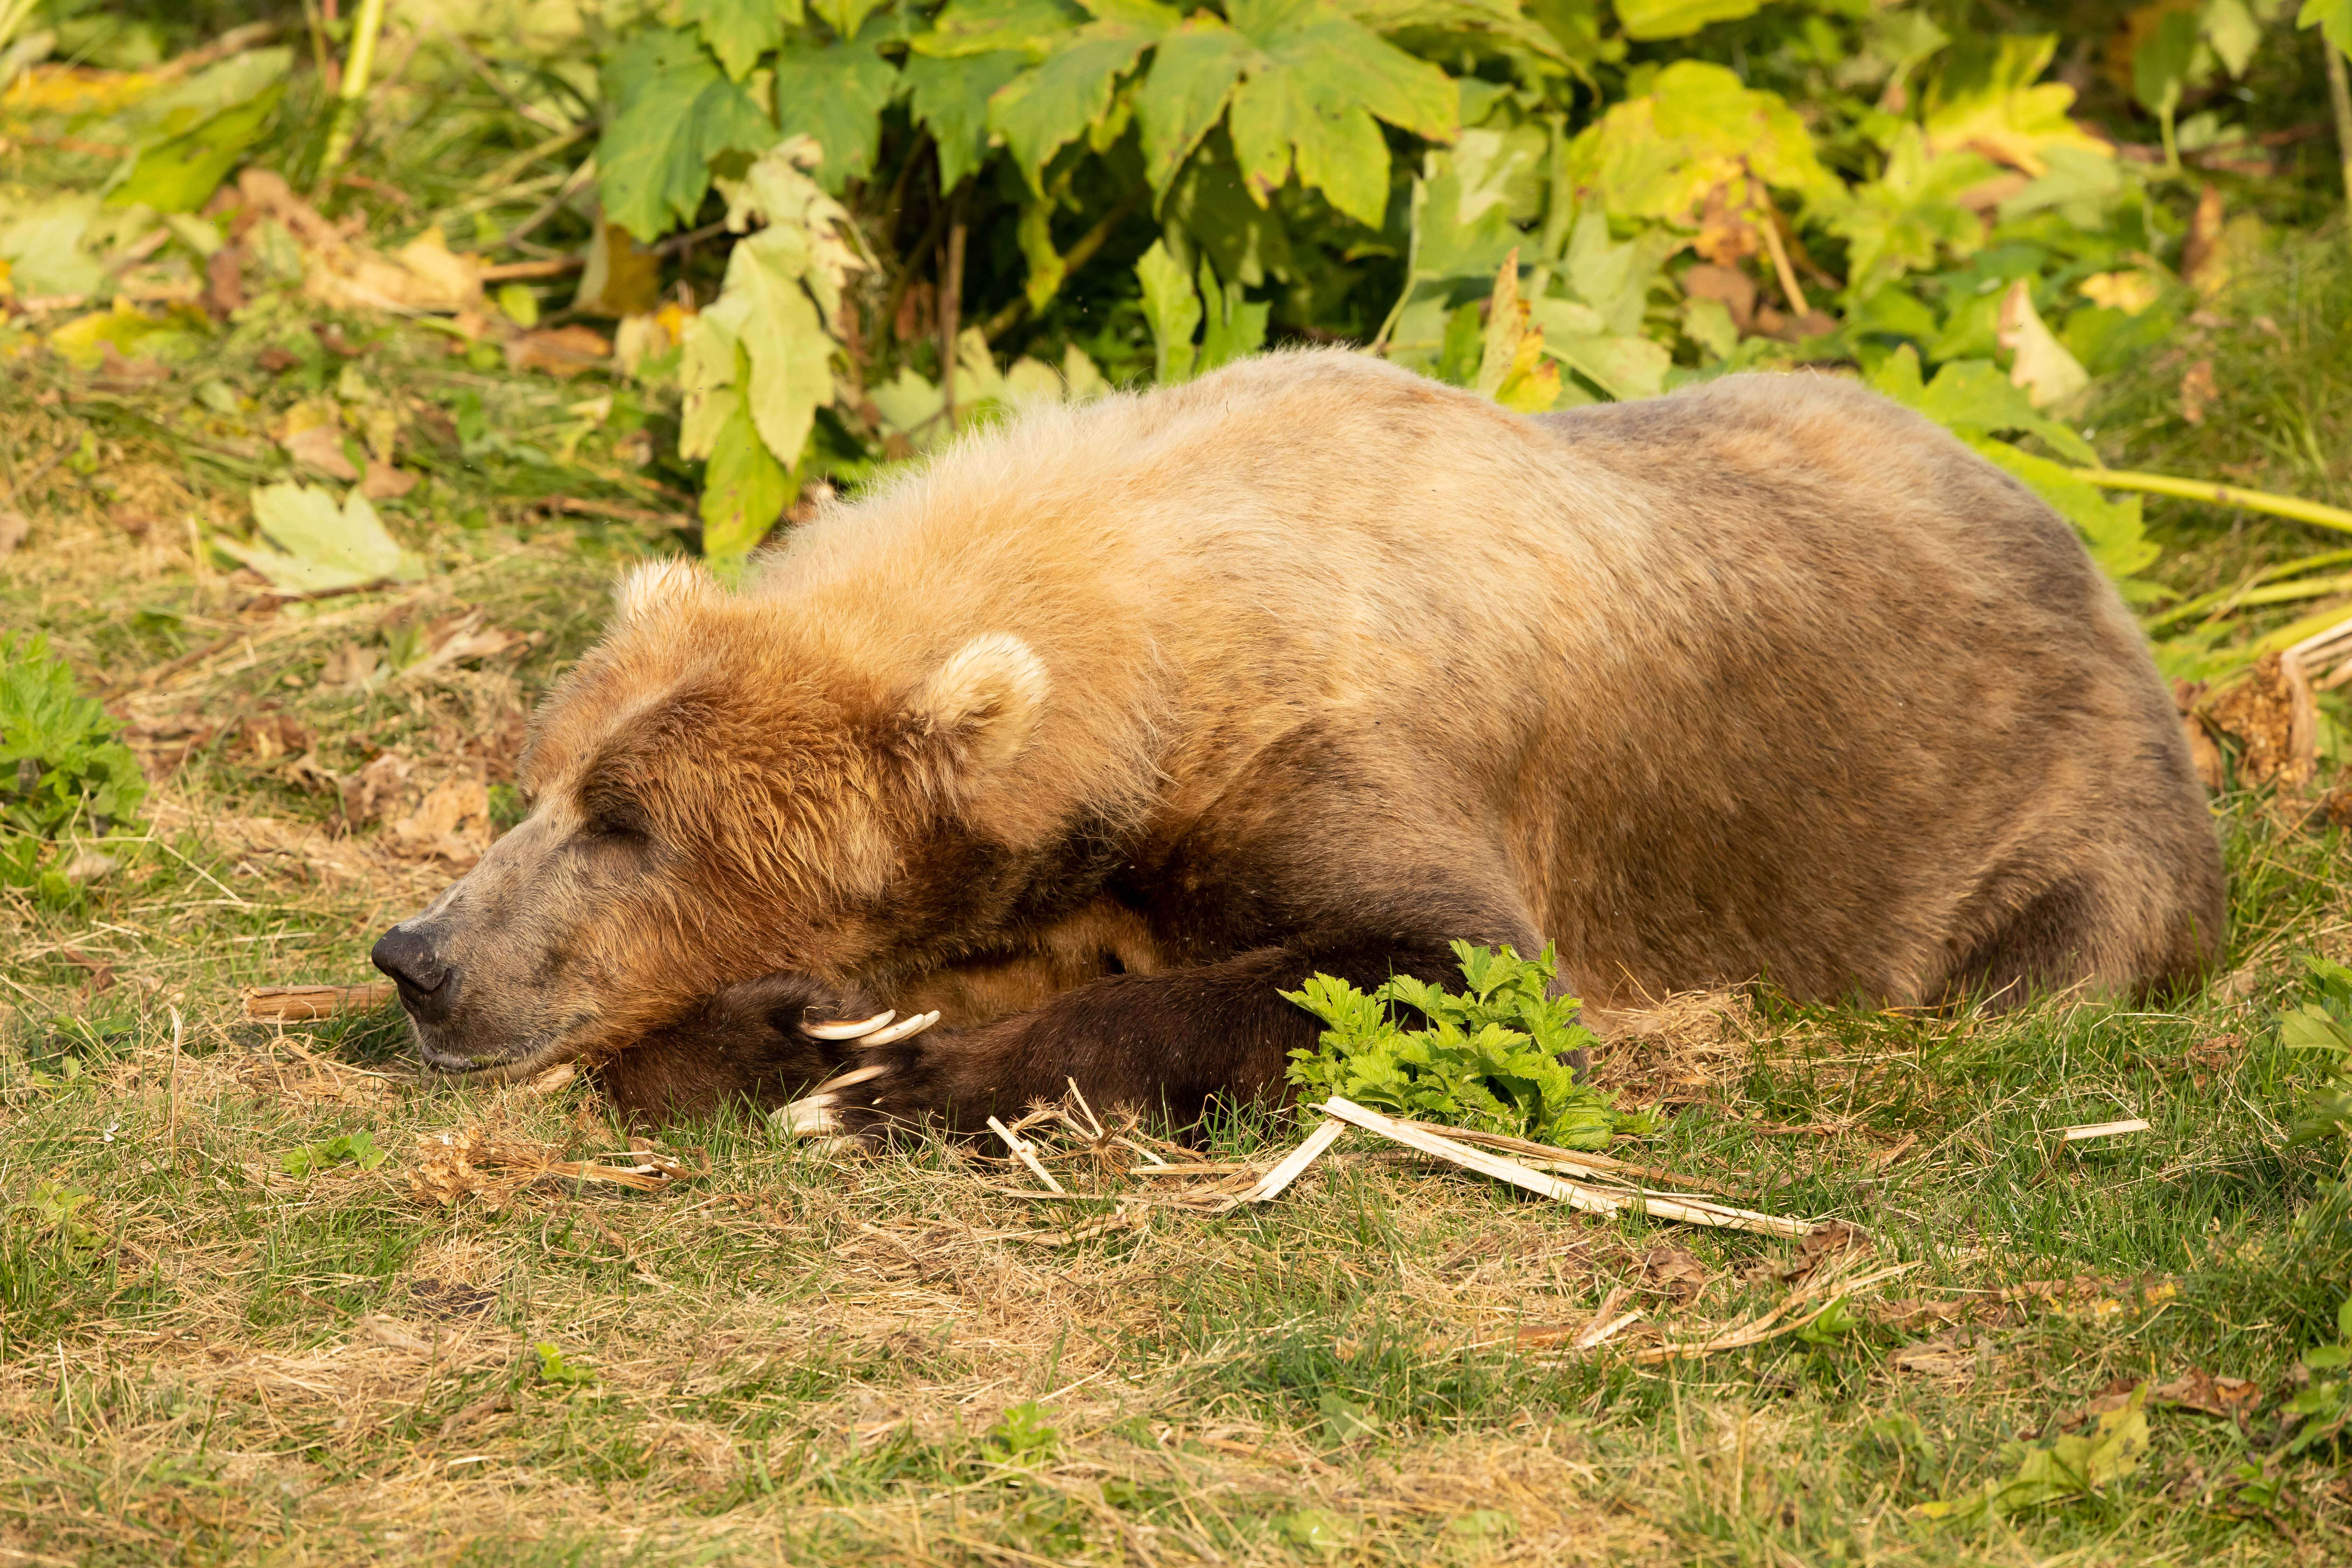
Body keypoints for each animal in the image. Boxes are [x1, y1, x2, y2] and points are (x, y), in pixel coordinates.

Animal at [367, 350, 2220, 1133]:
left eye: (633, 822)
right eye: (544, 780)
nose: (421, 957)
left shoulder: (1333, 752)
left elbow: (1427, 960)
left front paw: (901, 1076)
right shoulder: (1065, 875)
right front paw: (812, 1031)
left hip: (2039, 807)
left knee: (2052, 949)